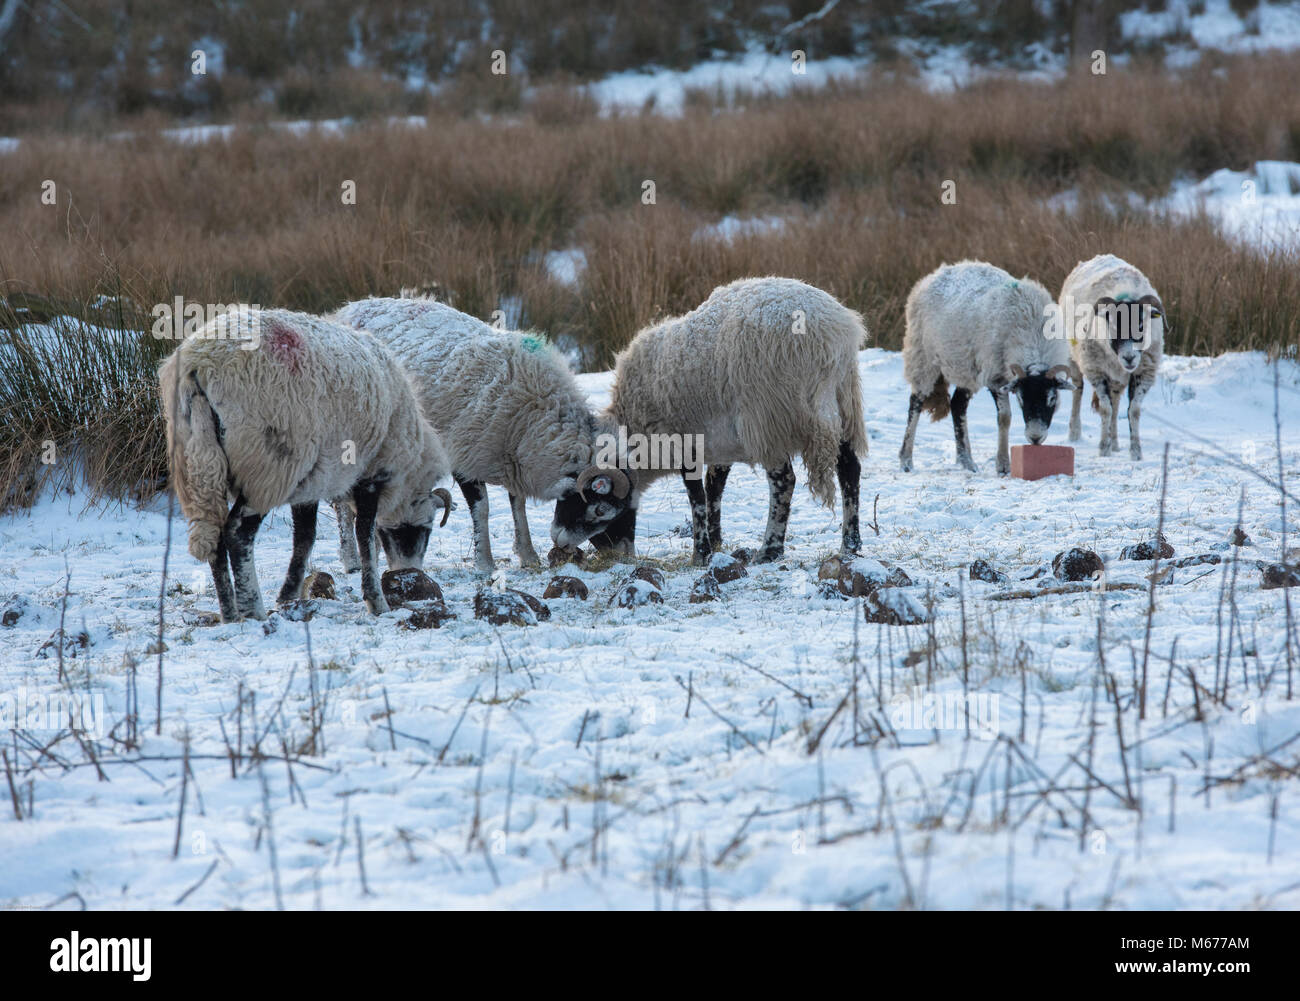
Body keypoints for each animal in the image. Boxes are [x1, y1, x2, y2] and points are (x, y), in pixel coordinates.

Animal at [158, 306, 452, 616]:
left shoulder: (310, 483)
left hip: (197, 461)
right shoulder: (373, 475)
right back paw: (252, 608)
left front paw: (288, 595)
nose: (409, 572)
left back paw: (230, 613)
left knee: (214, 534)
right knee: (238, 533)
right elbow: (364, 536)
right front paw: (376, 601)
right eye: (426, 529)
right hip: (268, 467)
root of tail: (199, 365)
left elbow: (305, 538)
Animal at [327, 293, 626, 569]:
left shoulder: (512, 460)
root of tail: (348, 307)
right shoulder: (464, 458)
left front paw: (527, 554)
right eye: (599, 509)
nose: (563, 544)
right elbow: (482, 509)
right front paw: (485, 563)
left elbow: (518, 505)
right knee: (342, 506)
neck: (531, 412)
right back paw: (352, 559)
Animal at [585, 276, 868, 566]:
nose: (608, 553)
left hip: (769, 419)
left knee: (784, 480)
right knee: (849, 469)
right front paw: (716, 539)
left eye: (595, 506)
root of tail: (826, 336)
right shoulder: (718, 442)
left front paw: (701, 553)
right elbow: (714, 487)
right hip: (843, 407)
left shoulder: (683, 440)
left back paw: (770, 549)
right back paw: (850, 545)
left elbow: (696, 496)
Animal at [899, 260, 1071, 473]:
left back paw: (966, 461)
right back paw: (906, 460)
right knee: (916, 402)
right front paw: (1003, 465)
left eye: (1052, 398)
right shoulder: (996, 377)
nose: (1035, 438)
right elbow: (1004, 418)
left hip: (966, 367)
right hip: (922, 355)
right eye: (1021, 399)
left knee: (957, 405)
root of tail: (933, 275)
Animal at [1055, 254, 1170, 462]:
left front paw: (1136, 452)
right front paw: (1103, 449)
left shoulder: (1143, 373)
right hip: (1075, 358)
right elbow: (1105, 409)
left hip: (1117, 378)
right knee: (1078, 391)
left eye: (1141, 325)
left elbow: (1133, 411)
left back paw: (1115, 442)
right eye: (1113, 325)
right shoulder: (1096, 371)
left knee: (1116, 403)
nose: (1129, 358)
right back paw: (1075, 433)